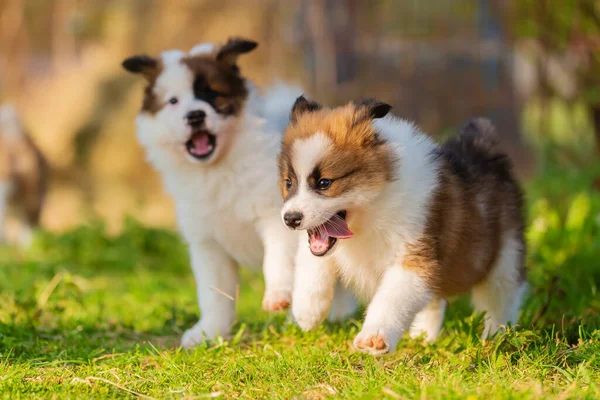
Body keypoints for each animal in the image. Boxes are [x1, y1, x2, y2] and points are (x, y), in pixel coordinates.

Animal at [278, 97, 528, 356]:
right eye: (289, 183)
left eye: (324, 183)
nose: (290, 218)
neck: (373, 210)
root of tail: (483, 149)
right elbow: (312, 265)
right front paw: (307, 311)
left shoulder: (415, 257)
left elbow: (391, 298)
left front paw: (374, 337)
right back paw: (423, 338)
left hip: (505, 255)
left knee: (501, 297)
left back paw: (497, 337)